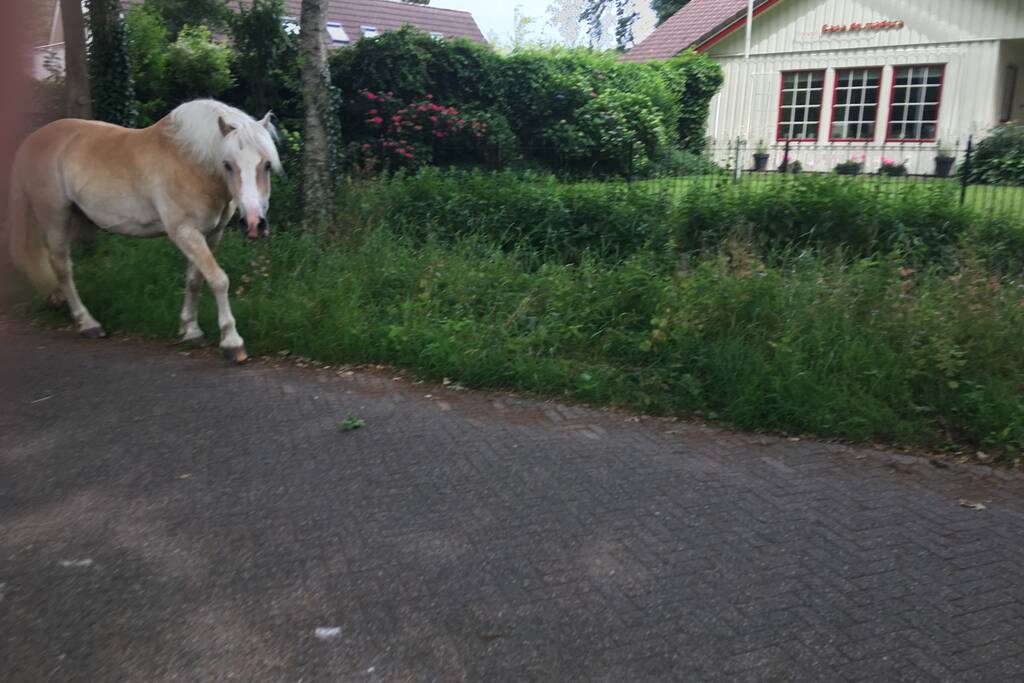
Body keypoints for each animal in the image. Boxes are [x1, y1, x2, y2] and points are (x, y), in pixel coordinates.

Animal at [6, 99, 281, 363]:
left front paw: (191, 331)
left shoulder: (210, 235)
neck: (190, 162)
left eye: (267, 165)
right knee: (62, 267)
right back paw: (88, 324)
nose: (254, 224)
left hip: (76, 220)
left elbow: (195, 280)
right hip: (55, 216)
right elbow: (218, 280)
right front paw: (232, 343)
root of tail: (31, 141)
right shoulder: (184, 232)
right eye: (228, 164)